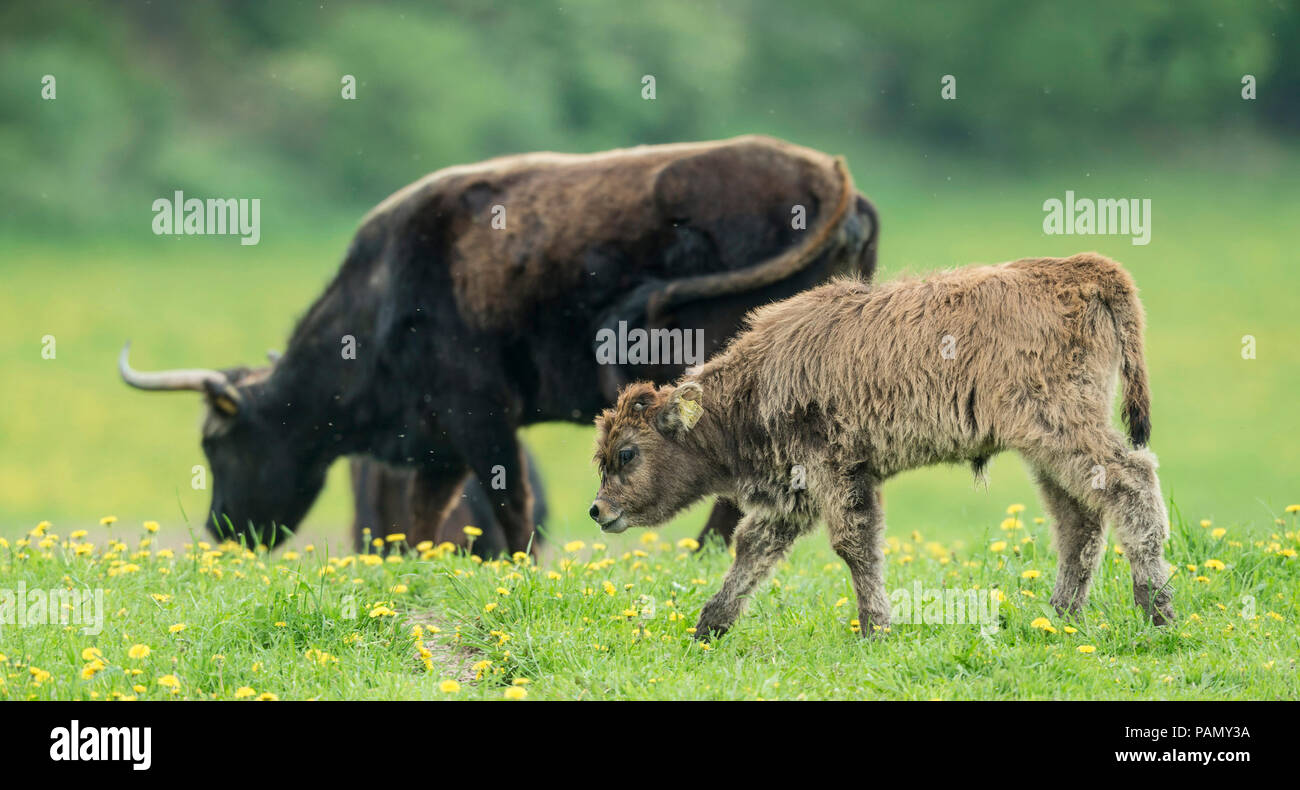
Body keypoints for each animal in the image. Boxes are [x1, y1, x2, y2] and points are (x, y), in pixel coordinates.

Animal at [122, 135, 878, 553]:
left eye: (216, 443)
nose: (222, 532)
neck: (386, 294)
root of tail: (829, 179)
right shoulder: (437, 443)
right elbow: (422, 520)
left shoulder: (482, 415)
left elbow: (511, 507)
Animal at [595, 254, 1175, 641]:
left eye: (627, 453)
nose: (598, 509)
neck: (756, 380)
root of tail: (1084, 269)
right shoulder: (796, 491)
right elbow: (754, 548)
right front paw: (708, 627)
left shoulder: (835, 471)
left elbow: (854, 545)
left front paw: (875, 628)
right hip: (1047, 449)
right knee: (1079, 521)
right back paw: (1060, 618)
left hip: (1061, 430)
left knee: (1131, 482)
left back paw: (1158, 614)